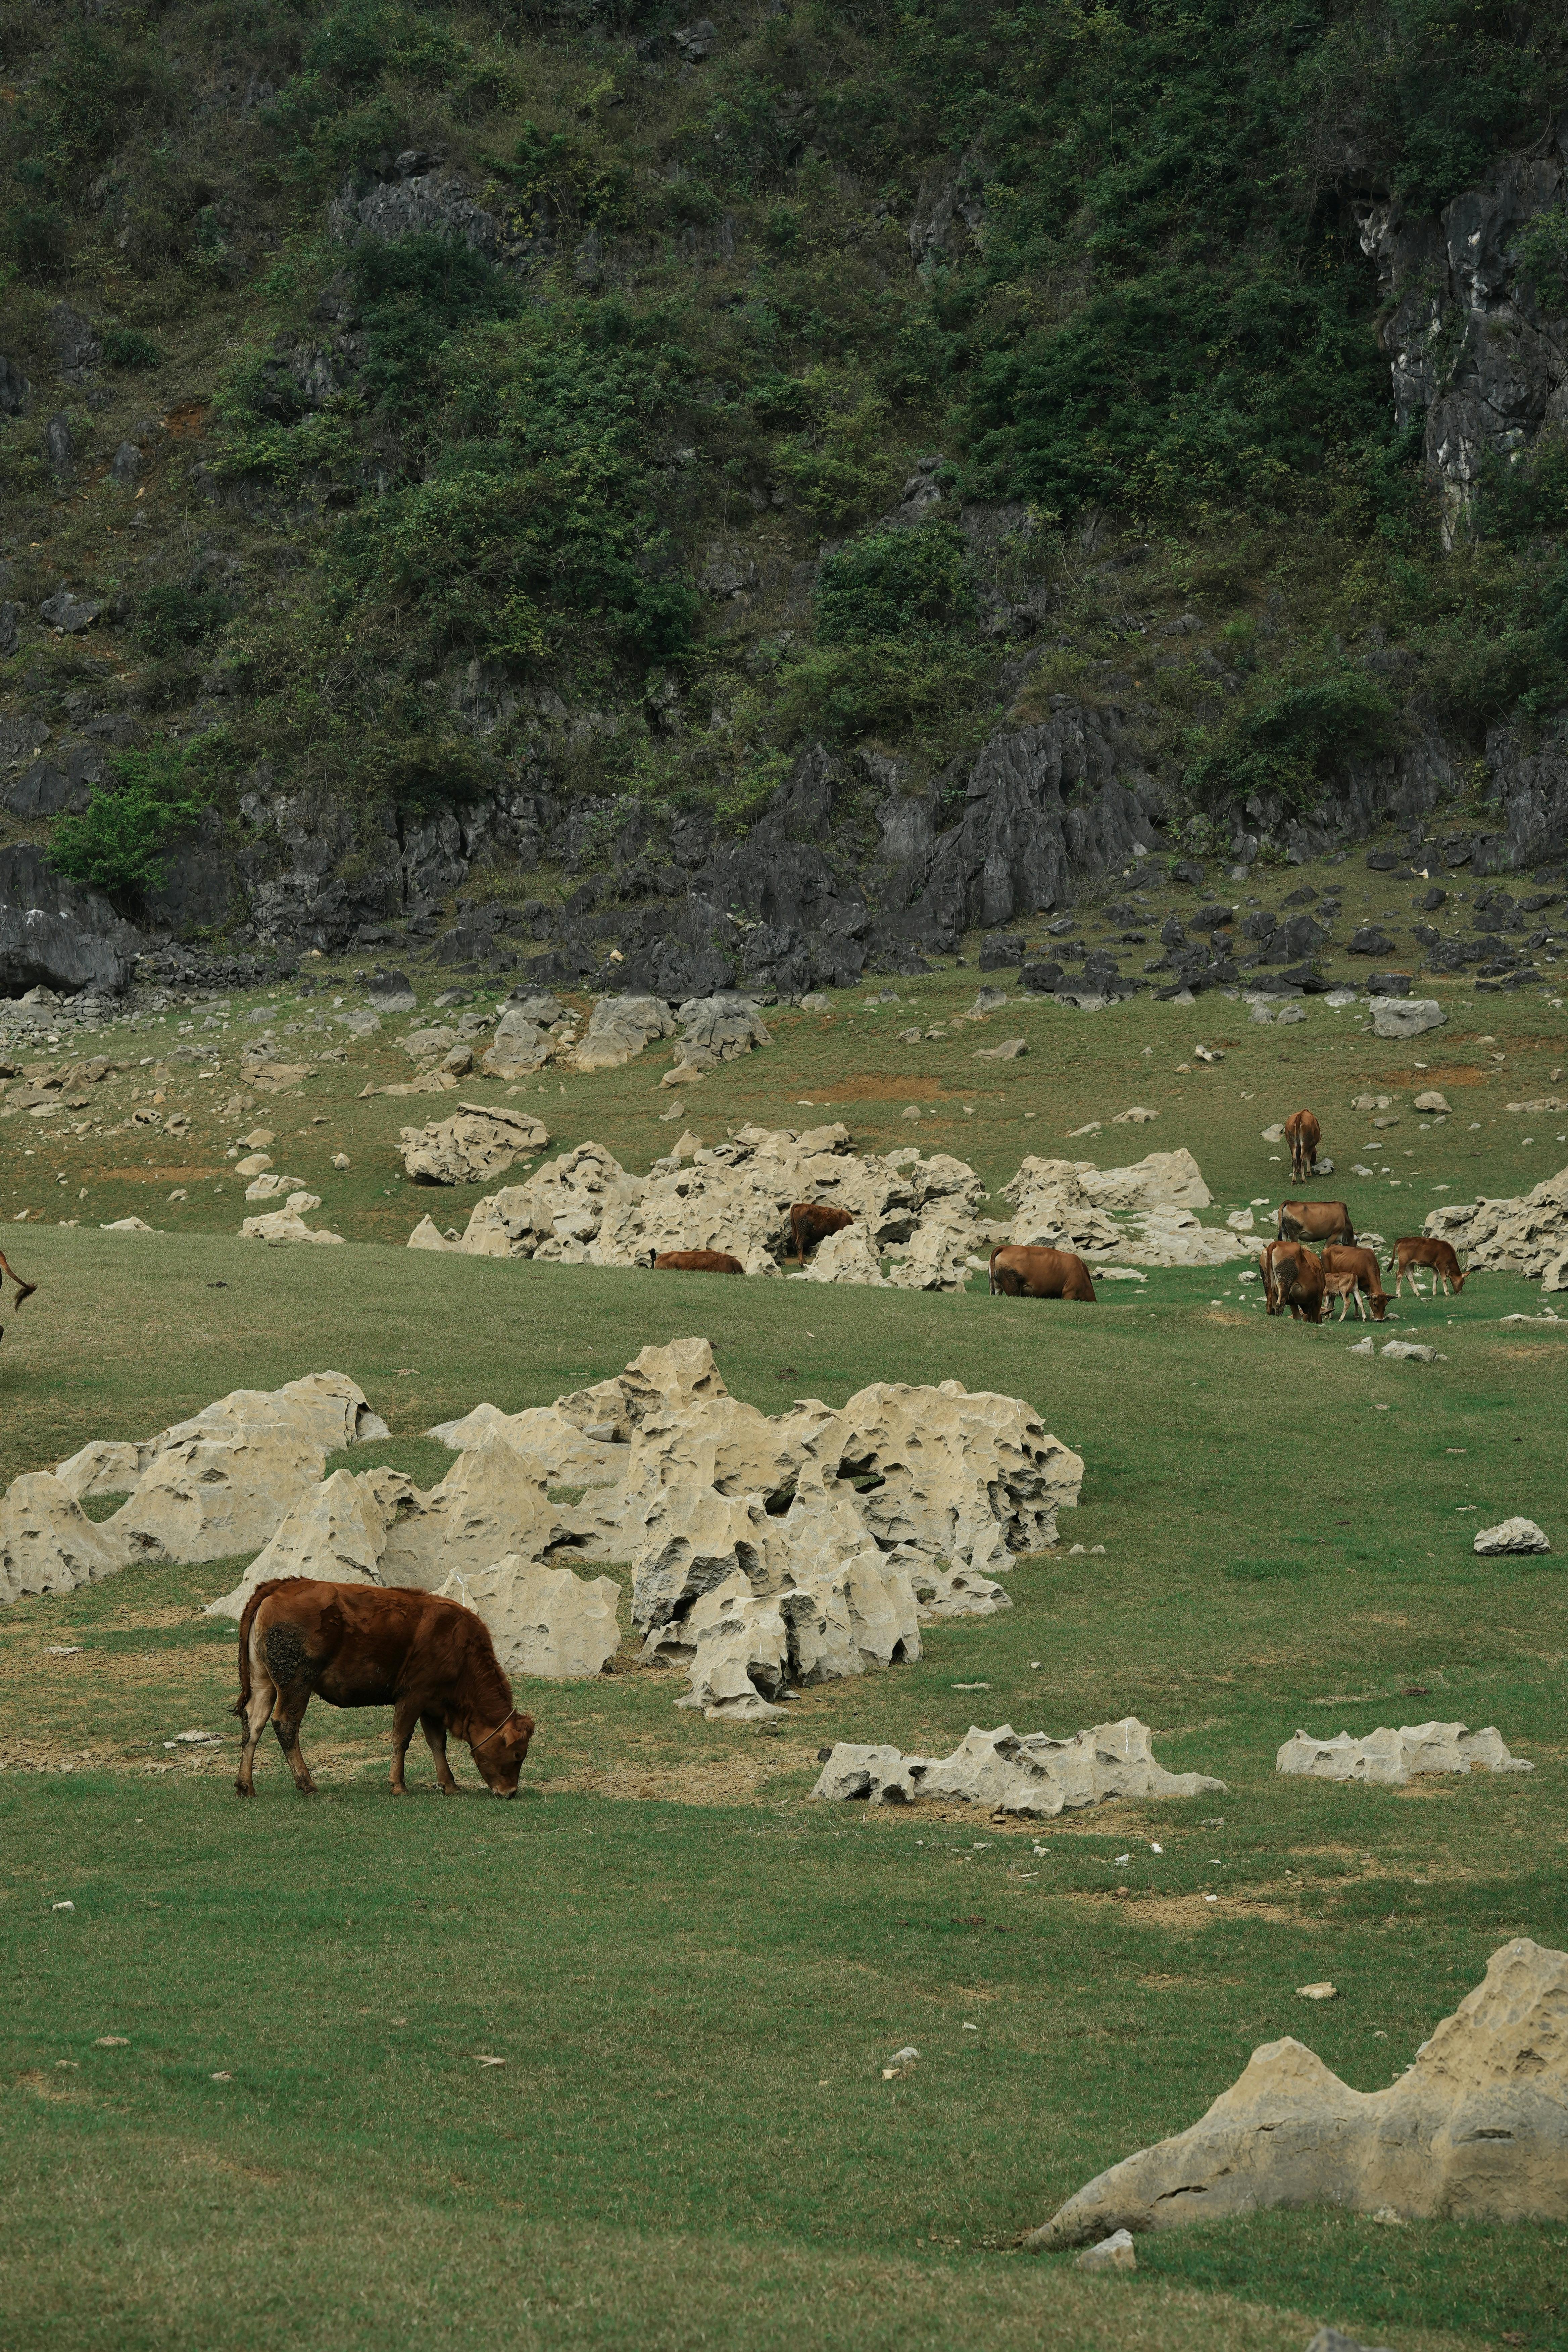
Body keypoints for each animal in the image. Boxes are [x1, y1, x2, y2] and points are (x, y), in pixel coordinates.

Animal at [233, 1578, 535, 1799]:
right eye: (518, 1755)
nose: (511, 1792)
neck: (459, 1645)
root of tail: (282, 1586)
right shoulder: (413, 1696)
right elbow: (401, 1738)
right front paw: (398, 1786)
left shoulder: (432, 1705)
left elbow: (438, 1743)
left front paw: (449, 1785)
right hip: (297, 1683)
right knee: (286, 1724)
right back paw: (307, 1784)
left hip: (265, 1684)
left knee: (254, 1724)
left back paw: (246, 1786)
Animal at [1284, 1109, 1322, 1184]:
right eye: (1316, 1153)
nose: (1315, 1162)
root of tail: (1300, 1116)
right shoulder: (1311, 1146)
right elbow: (1309, 1158)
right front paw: (1309, 1173)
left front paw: (1298, 1170)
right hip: (1306, 1143)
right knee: (1302, 1159)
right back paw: (1303, 1179)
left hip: (1292, 1144)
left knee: (1295, 1159)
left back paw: (1294, 1180)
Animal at [1320, 1243, 1389, 1322]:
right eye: (1375, 1305)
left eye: (1385, 1305)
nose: (1380, 1320)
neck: (1367, 1263)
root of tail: (1327, 1249)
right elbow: (1356, 1301)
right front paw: (1357, 1315)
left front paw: (1372, 1316)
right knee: (1333, 1299)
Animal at [1388, 1236, 1466, 1297]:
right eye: (1464, 1283)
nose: (1459, 1293)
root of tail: (1403, 1240)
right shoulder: (1441, 1265)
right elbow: (1444, 1279)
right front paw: (1447, 1292)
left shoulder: (1435, 1267)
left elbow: (1435, 1279)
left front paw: (1434, 1292)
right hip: (1403, 1263)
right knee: (1399, 1276)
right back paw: (1399, 1294)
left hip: (1410, 1264)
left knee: (1410, 1276)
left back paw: (1417, 1293)